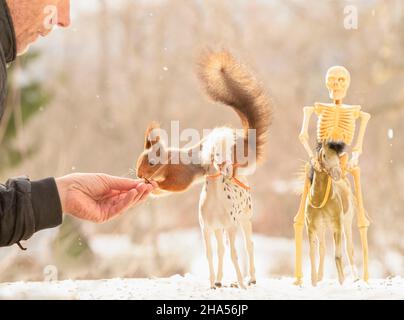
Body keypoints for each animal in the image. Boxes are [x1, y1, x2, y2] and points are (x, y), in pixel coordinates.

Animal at [136, 50, 272, 195]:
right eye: (139, 159)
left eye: (152, 163)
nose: (139, 175)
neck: (168, 163)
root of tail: (251, 146)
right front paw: (151, 188)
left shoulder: (182, 173)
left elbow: (177, 185)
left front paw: (155, 184)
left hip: (236, 157)